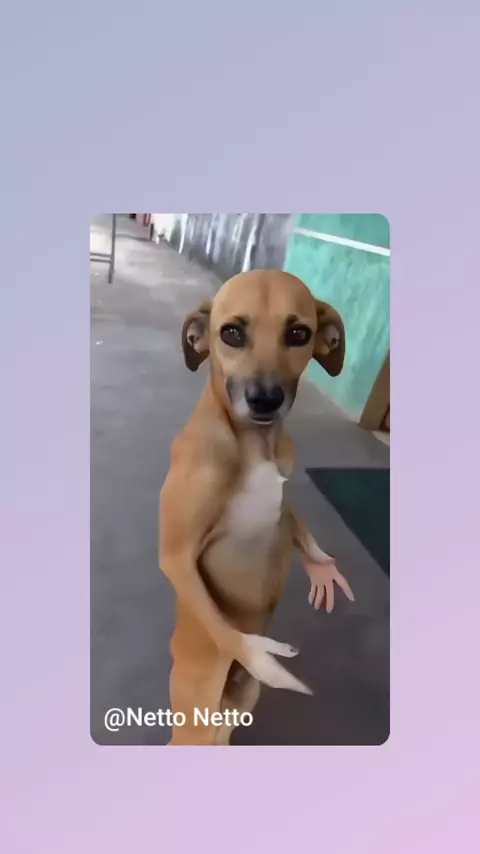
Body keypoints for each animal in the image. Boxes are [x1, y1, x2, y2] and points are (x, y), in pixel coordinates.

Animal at [159, 269, 354, 745]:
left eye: (299, 334)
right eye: (231, 332)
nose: (265, 399)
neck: (252, 443)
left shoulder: (282, 498)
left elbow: (293, 520)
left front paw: (322, 565)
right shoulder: (175, 554)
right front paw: (255, 651)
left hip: (240, 702)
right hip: (197, 713)